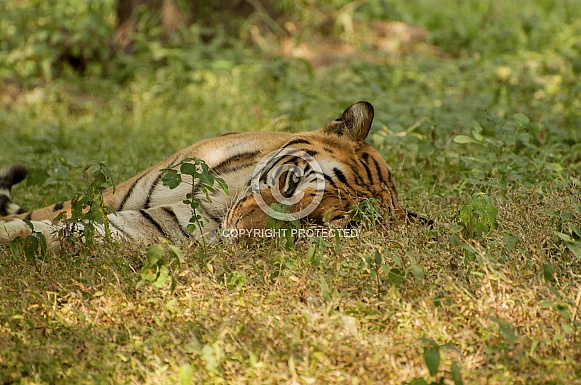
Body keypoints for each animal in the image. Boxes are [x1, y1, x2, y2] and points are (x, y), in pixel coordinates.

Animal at [0, 101, 416, 252]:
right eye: (291, 183)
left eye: (315, 227)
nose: (240, 234)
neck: (225, 196)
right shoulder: (111, 197)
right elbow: (39, 221)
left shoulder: (155, 226)